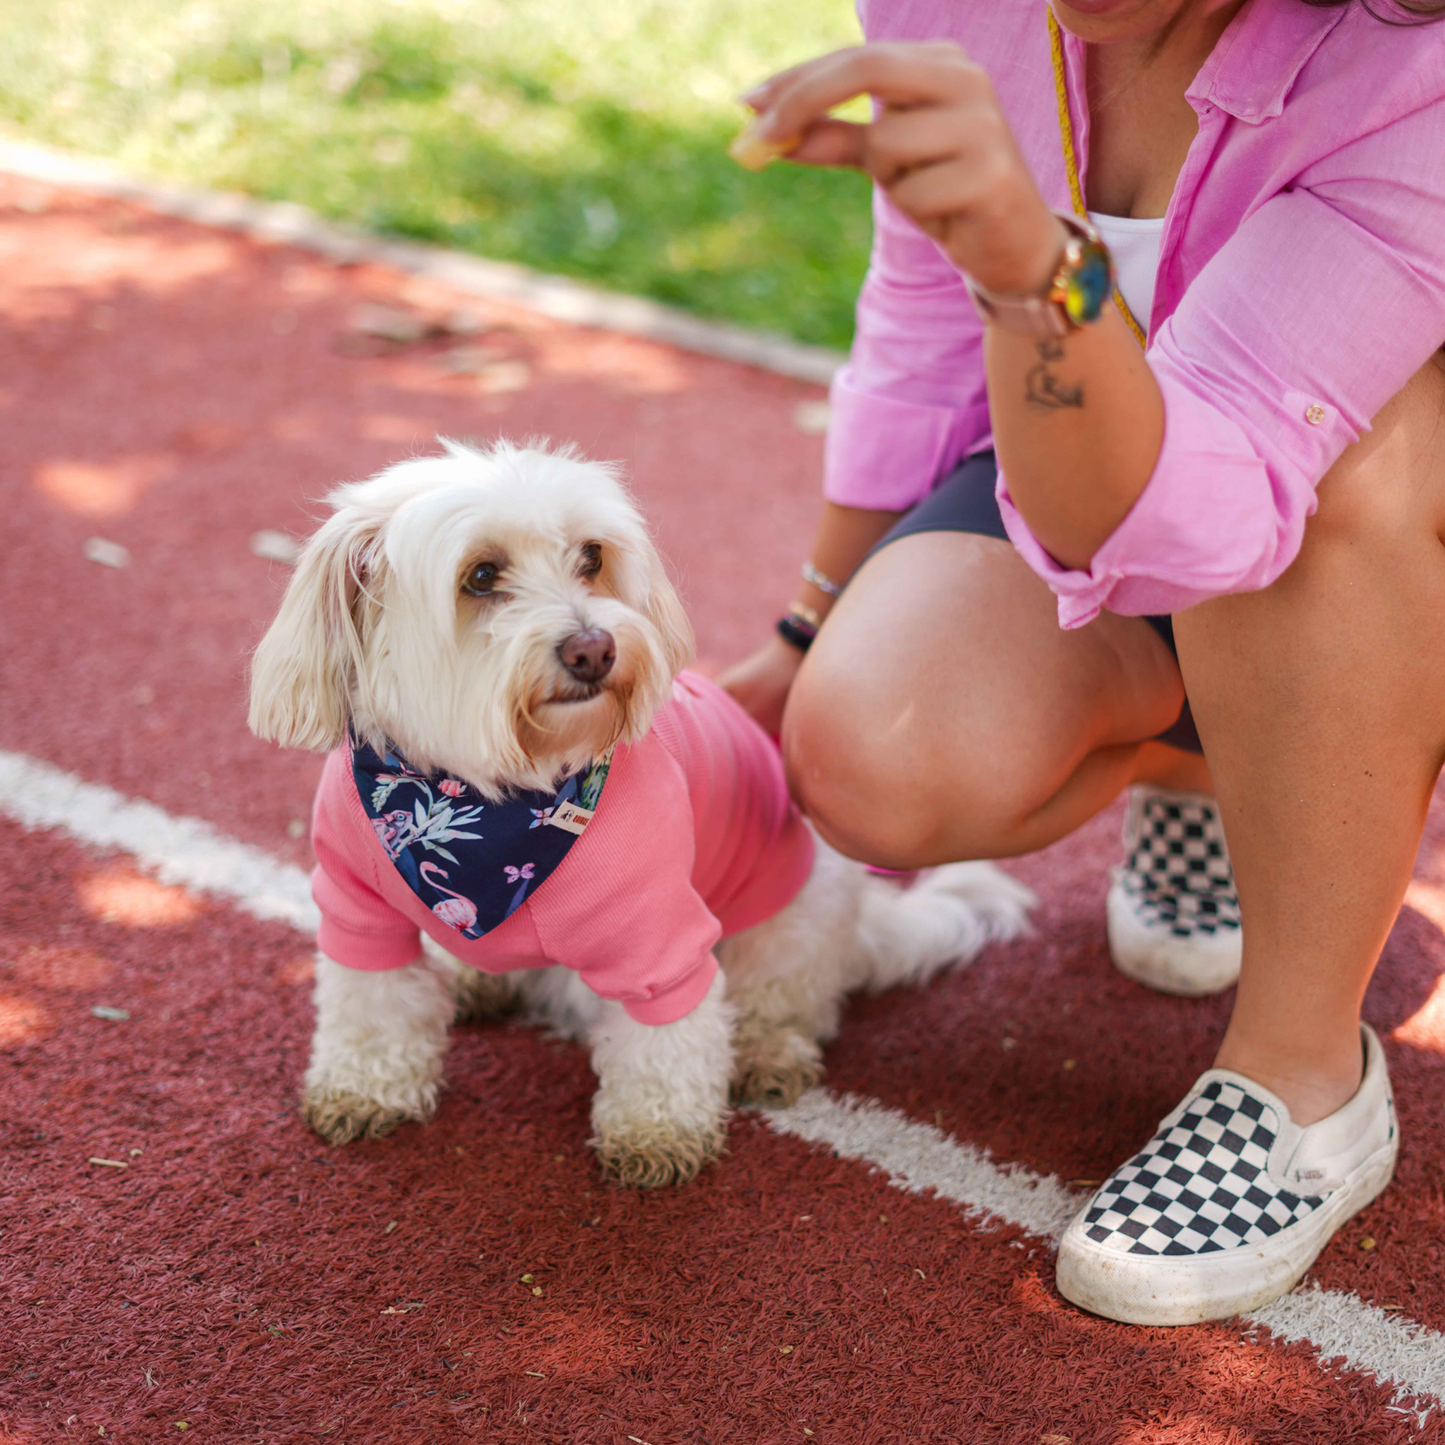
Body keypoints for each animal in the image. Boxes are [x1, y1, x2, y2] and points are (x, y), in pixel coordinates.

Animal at [251, 439, 1040, 1184]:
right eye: (480, 575)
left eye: (591, 556)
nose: (593, 647)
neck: (488, 799)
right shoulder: (357, 912)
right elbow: (370, 1005)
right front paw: (364, 1087)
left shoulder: (660, 939)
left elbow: (668, 1039)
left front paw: (657, 1132)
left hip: (797, 911)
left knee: (792, 999)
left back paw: (768, 1049)